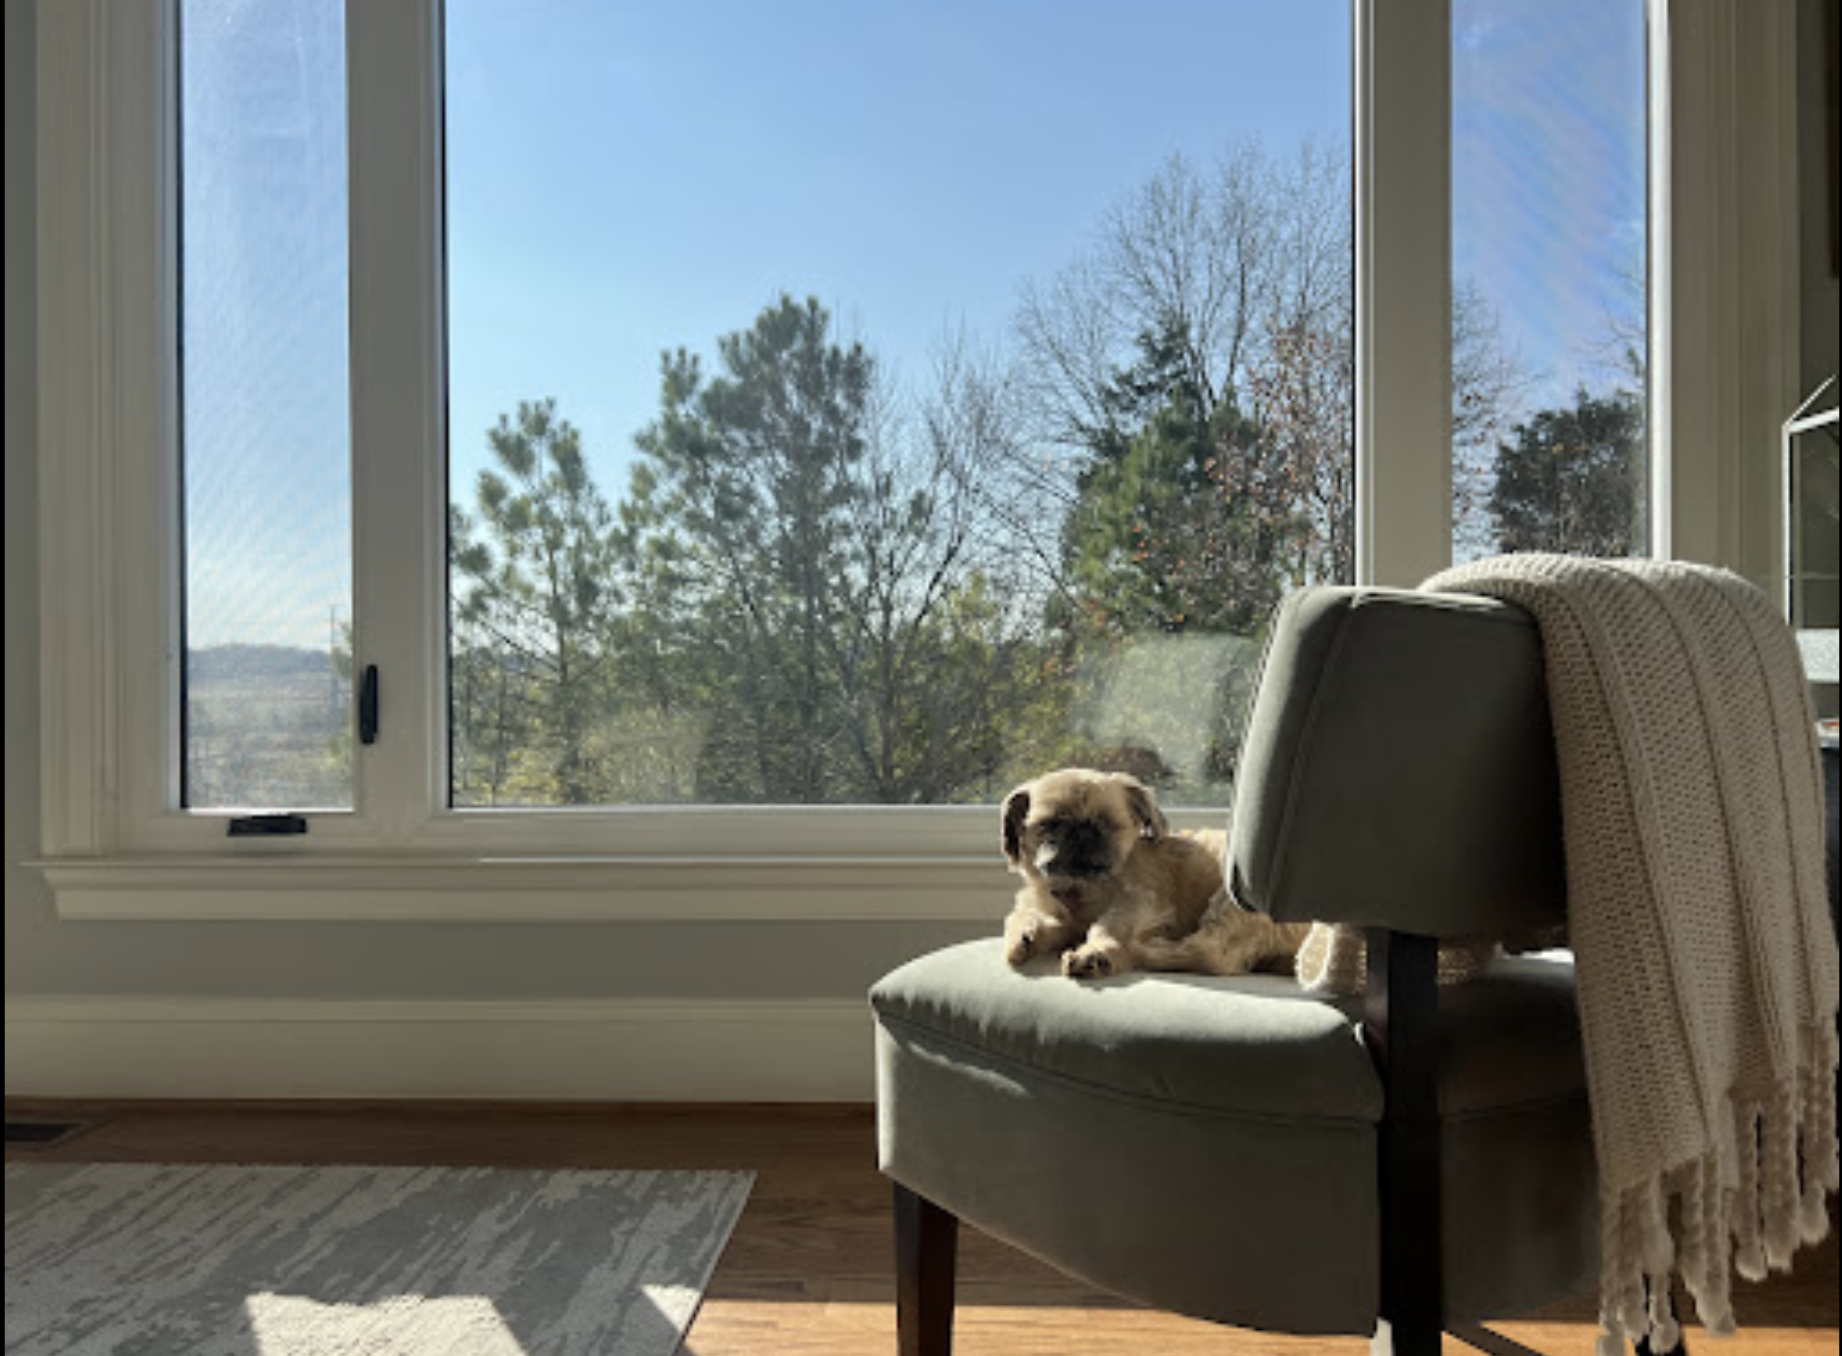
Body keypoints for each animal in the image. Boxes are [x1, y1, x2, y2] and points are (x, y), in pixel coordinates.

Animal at [1002, 766, 1304, 980]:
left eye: (1107, 824)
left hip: (1231, 902)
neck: (1081, 885)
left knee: (1209, 954)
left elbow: (1107, 925)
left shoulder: (1138, 900)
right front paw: (1023, 937)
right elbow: (1027, 918)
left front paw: (1096, 951)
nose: (1082, 832)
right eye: (1050, 824)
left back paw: (1143, 951)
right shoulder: (1052, 910)